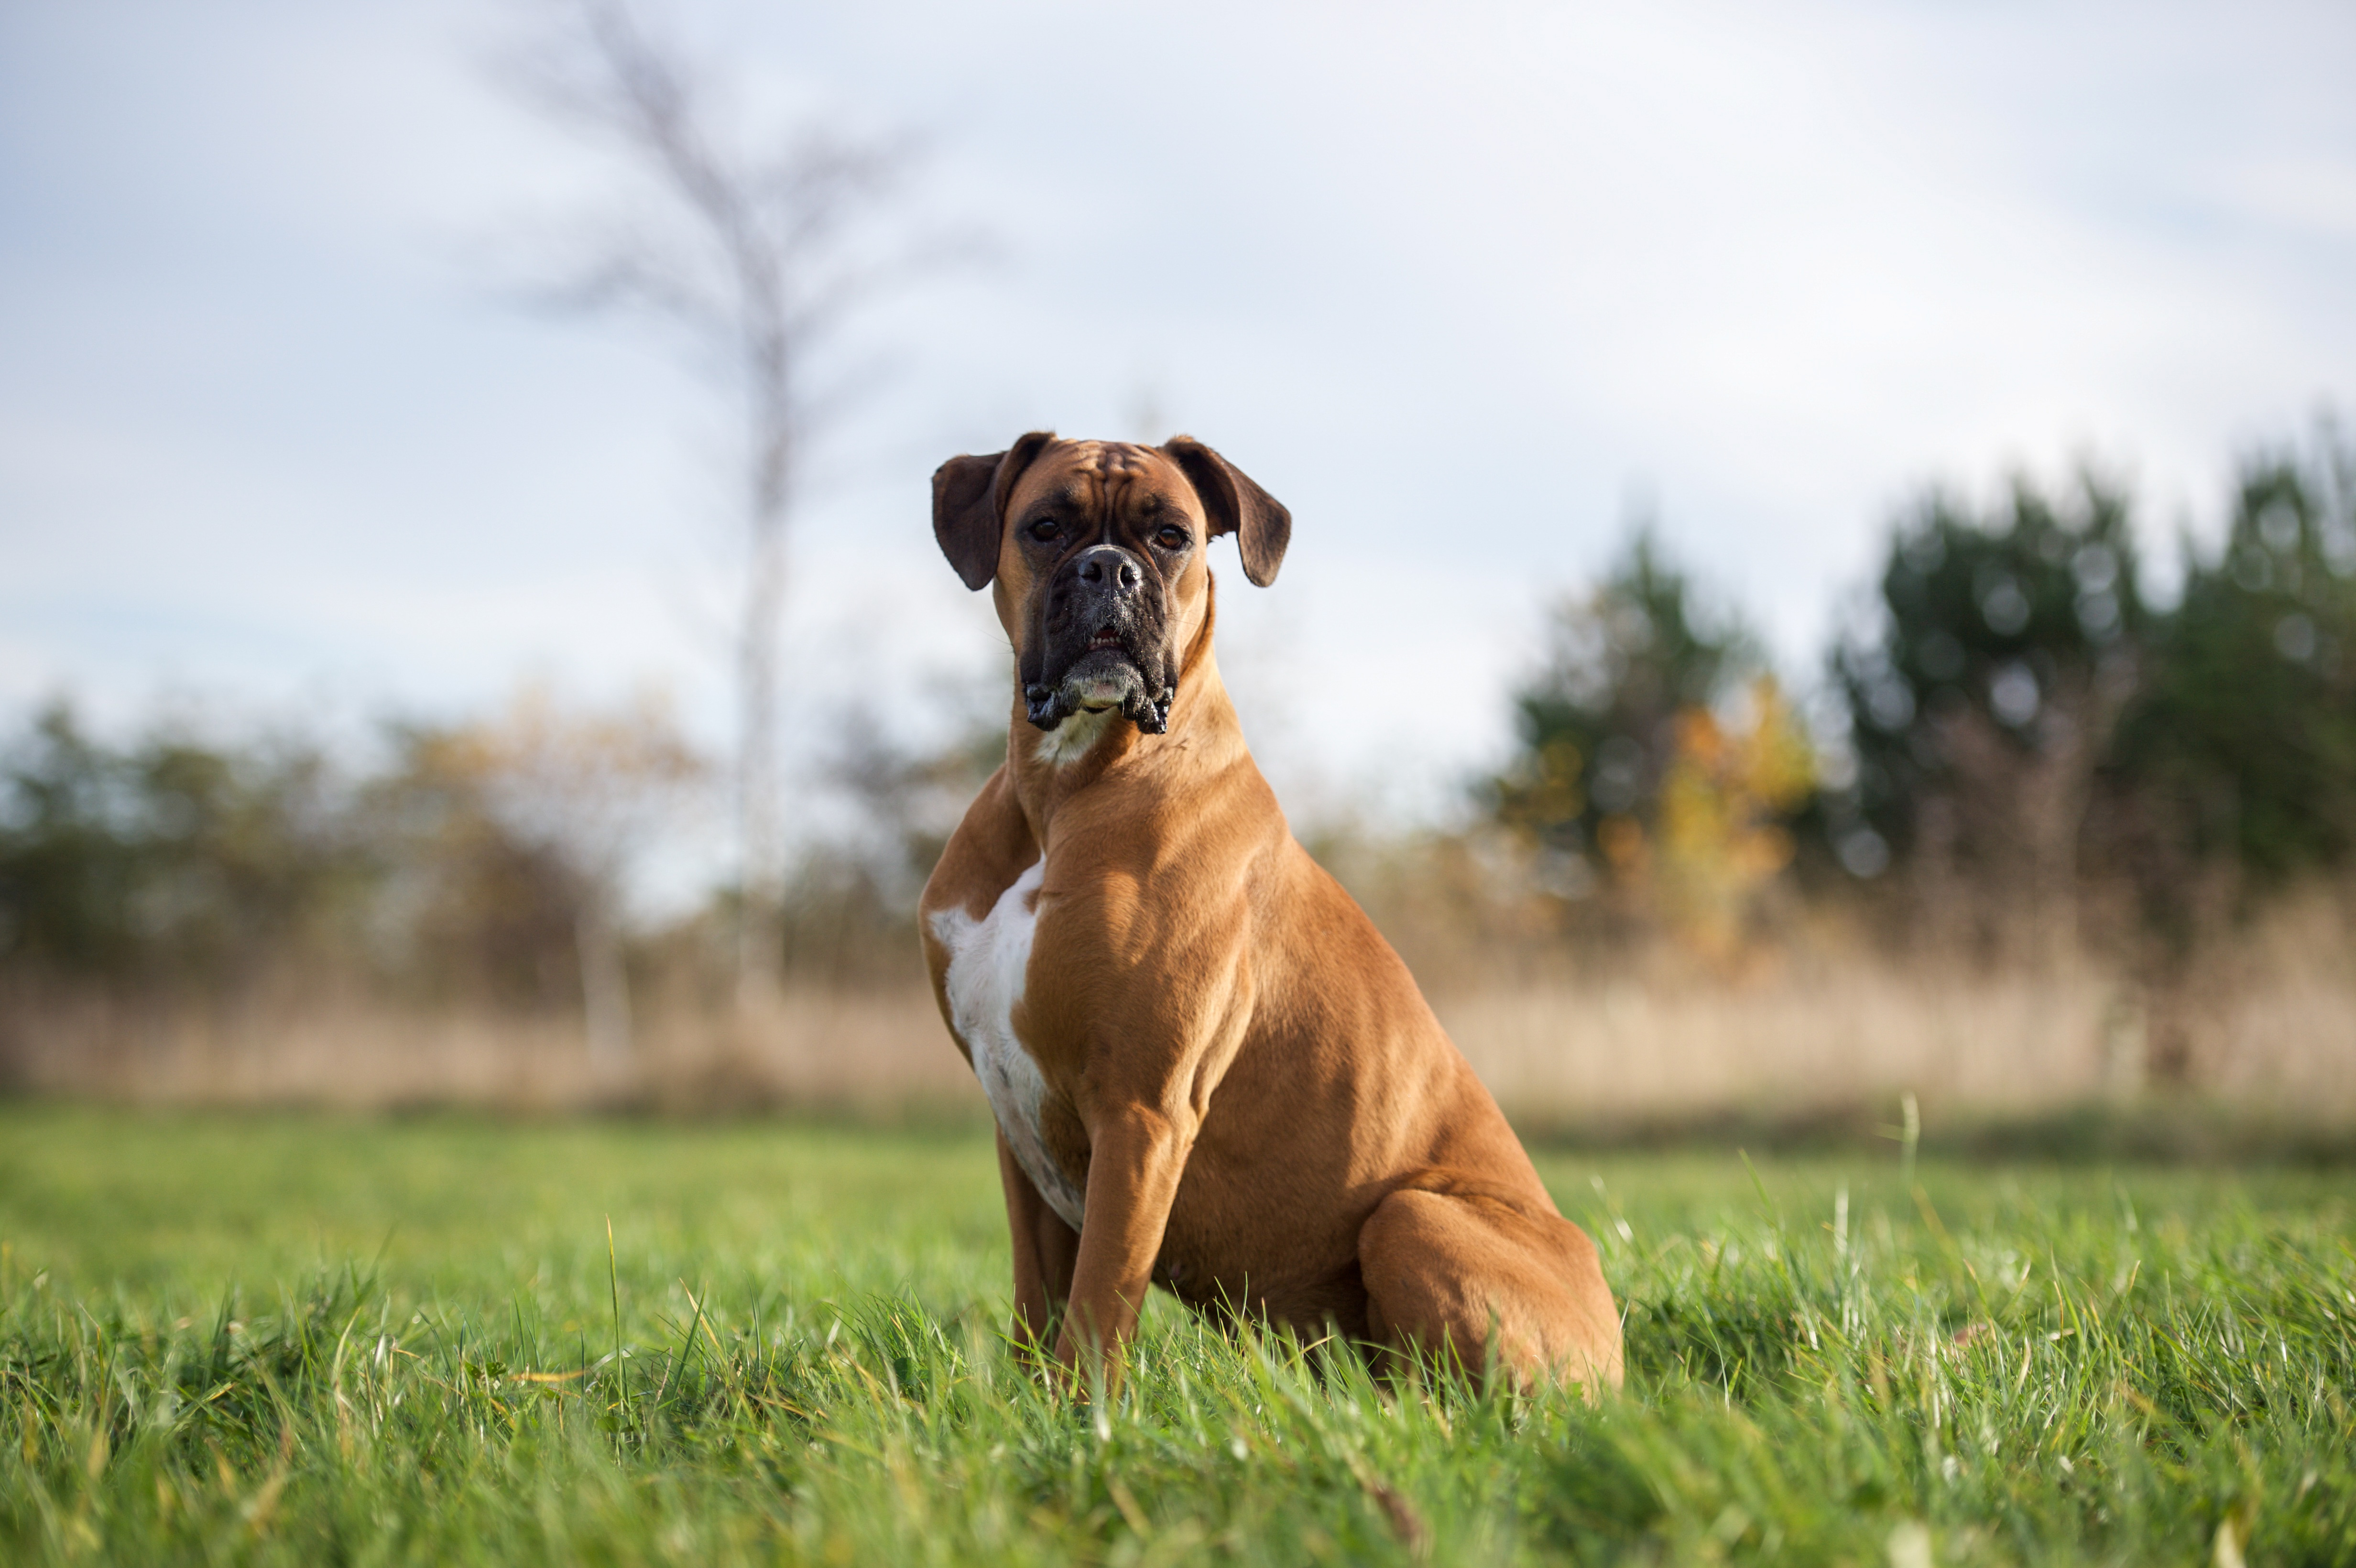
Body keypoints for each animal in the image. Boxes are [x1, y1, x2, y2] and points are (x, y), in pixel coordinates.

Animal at [914, 431, 1621, 1394]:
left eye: (1171, 536)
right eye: (1046, 527)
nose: (1109, 570)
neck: (1065, 792)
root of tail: (1621, 1357)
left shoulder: (1141, 1116)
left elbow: (1095, 1310)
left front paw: (1077, 1416)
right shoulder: (1017, 1126)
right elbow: (1039, 1304)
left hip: (1412, 1216)